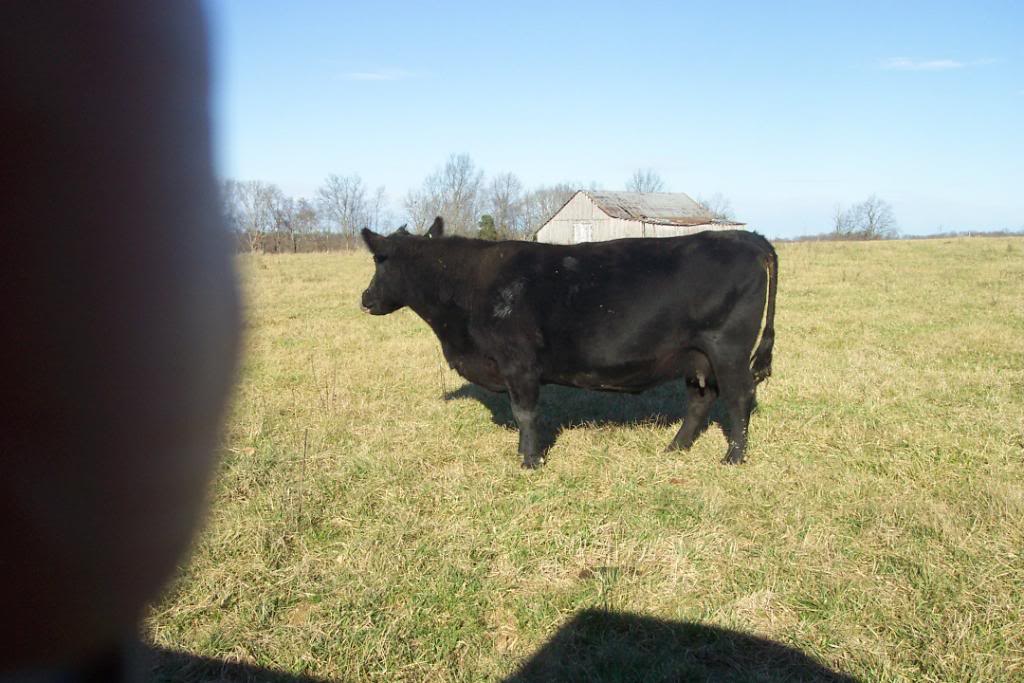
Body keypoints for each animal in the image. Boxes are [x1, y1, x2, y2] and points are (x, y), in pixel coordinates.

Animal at [360, 219, 774, 471]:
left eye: (379, 259)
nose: (365, 298)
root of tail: (749, 237)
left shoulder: (519, 363)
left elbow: (525, 413)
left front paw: (529, 462)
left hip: (728, 349)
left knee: (739, 397)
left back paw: (733, 457)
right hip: (697, 357)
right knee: (701, 399)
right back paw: (675, 447)